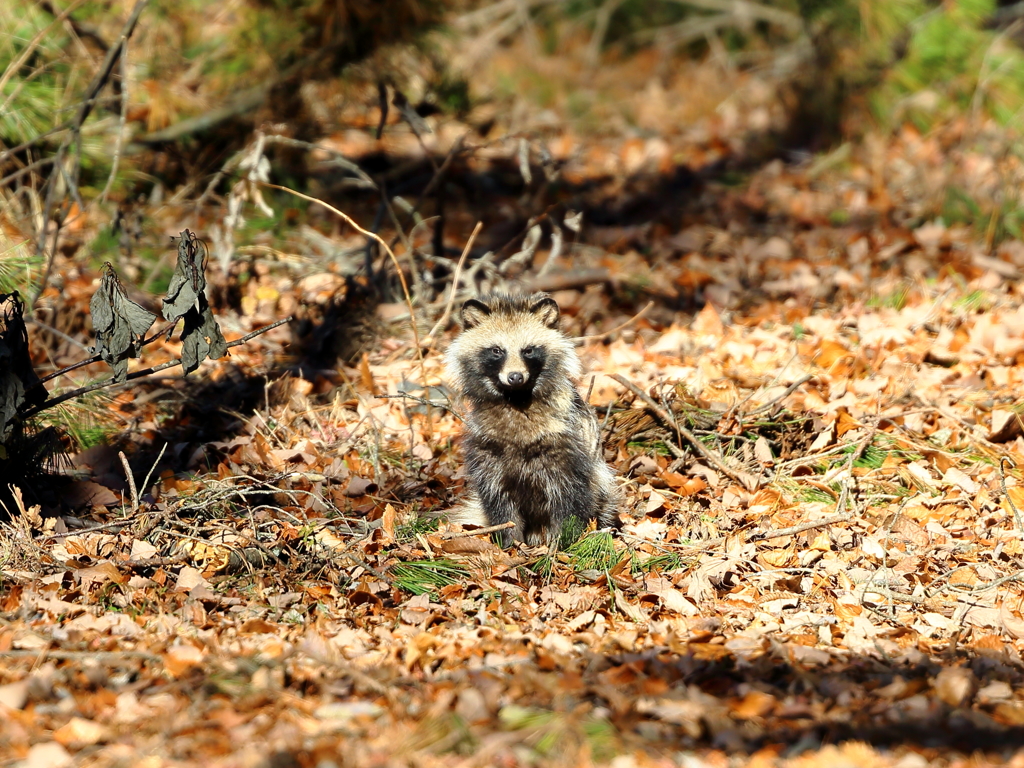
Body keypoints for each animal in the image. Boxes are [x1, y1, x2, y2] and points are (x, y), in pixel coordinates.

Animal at [446, 290, 618, 548]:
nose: (515, 377)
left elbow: (570, 498)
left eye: (528, 350)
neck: (515, 399)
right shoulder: (488, 452)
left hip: (600, 482)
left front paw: (564, 540)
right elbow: (499, 501)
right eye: (497, 350)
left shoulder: (566, 445)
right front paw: (509, 541)